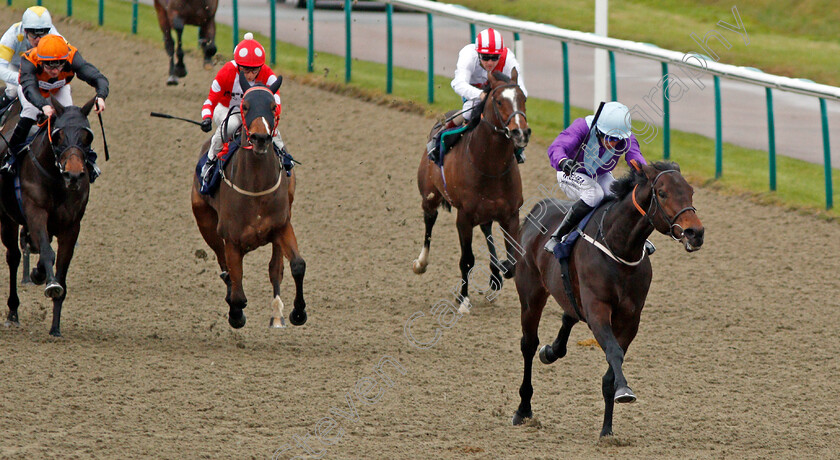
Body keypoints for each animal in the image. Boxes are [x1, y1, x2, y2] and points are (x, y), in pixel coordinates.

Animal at [0, 97, 98, 336]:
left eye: (87, 137)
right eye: (59, 135)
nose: (73, 175)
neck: (56, 179)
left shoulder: (71, 226)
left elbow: (61, 264)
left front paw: (55, 326)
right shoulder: (35, 213)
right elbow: (47, 251)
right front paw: (47, 281)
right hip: (7, 219)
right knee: (13, 257)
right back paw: (13, 312)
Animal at [192, 75, 306, 328]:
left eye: (273, 106)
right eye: (245, 106)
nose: (261, 138)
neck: (256, 188)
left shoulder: (282, 225)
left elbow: (297, 265)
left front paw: (298, 312)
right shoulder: (231, 240)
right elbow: (236, 288)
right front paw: (236, 313)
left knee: (275, 268)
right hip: (206, 223)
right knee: (224, 266)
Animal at [414, 71, 532, 312]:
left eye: (523, 98)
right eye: (499, 101)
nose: (521, 132)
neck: (491, 167)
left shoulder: (510, 215)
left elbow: (513, 262)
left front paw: (497, 276)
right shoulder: (464, 217)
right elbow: (467, 259)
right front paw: (463, 300)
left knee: (486, 228)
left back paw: (495, 277)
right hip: (429, 196)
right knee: (429, 221)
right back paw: (421, 262)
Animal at [512, 162, 704, 438]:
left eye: (690, 191)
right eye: (663, 193)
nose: (695, 232)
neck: (619, 247)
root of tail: (538, 208)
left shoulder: (630, 317)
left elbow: (611, 373)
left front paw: (607, 429)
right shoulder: (598, 310)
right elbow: (613, 352)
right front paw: (625, 392)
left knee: (568, 315)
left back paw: (551, 351)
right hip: (530, 294)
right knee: (528, 345)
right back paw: (523, 409)